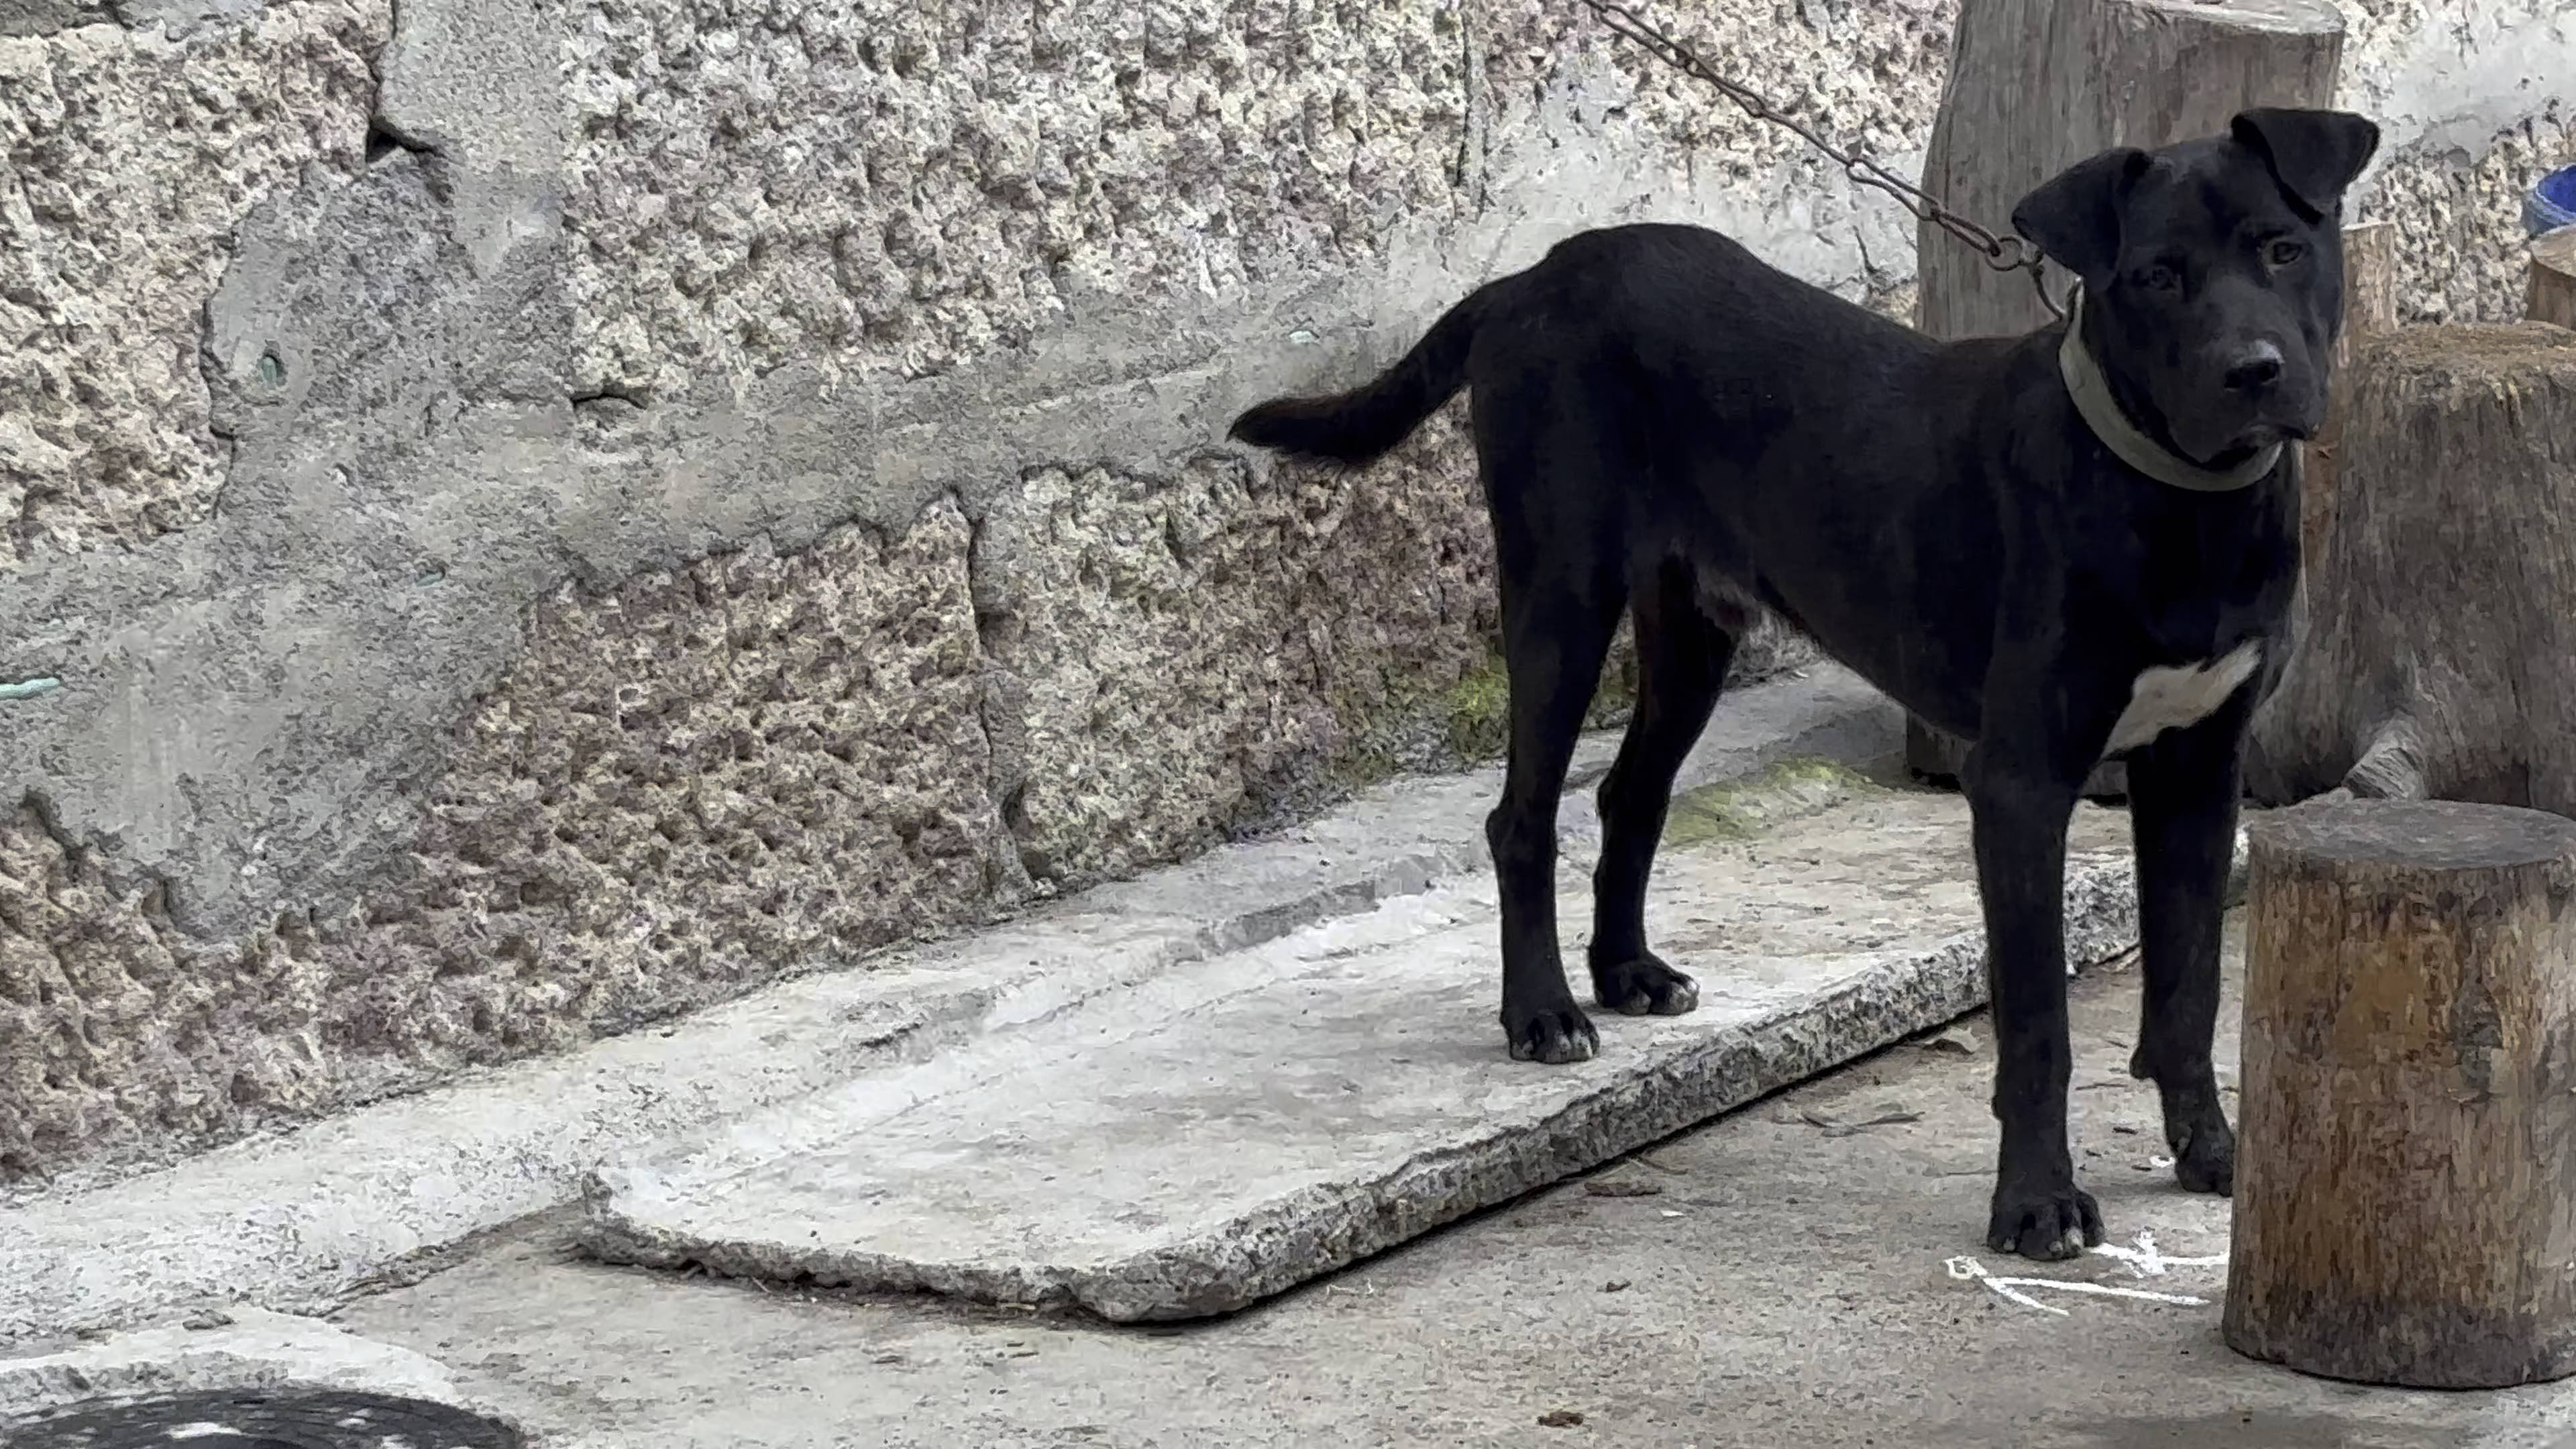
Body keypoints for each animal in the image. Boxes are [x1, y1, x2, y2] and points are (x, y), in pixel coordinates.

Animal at [1226, 107, 2369, 1252]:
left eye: (2282, 249)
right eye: (2157, 277)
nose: (2254, 371)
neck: (2178, 500)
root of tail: (1534, 275)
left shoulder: (2200, 769)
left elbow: (2190, 988)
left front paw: (2215, 1155)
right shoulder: (2021, 784)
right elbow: (2041, 1022)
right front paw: (2038, 1202)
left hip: (1692, 625)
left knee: (1630, 793)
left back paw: (1627, 971)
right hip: (1560, 591)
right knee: (1524, 817)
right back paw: (1545, 1012)